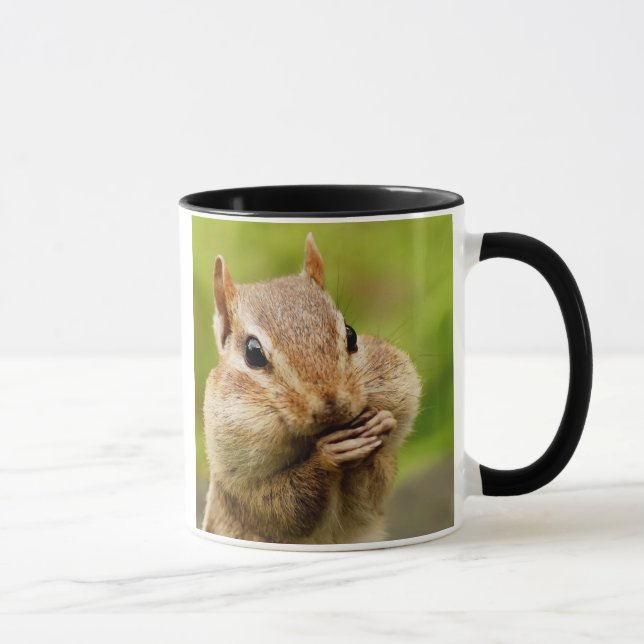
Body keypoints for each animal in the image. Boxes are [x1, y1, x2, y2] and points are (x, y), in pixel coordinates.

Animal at [202, 233, 421, 544]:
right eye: (253, 353)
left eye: (351, 334)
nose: (334, 407)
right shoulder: (242, 491)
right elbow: (285, 509)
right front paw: (328, 455)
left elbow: (374, 490)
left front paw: (381, 423)